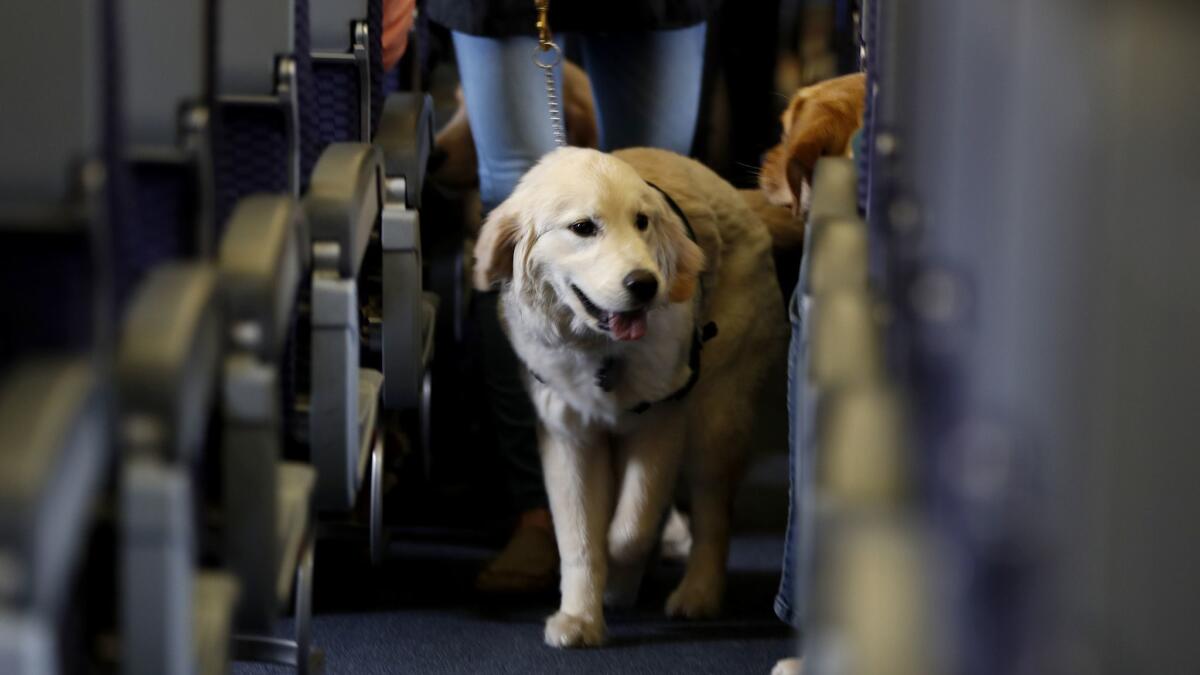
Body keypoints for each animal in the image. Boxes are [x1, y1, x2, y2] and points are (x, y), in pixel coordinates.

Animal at [470, 148, 796, 648]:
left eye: (642, 222)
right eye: (583, 227)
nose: (645, 284)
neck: (602, 351)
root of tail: (735, 195)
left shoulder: (662, 421)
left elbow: (630, 527)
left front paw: (620, 582)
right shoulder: (568, 435)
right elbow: (579, 537)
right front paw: (580, 618)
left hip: (716, 416)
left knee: (713, 514)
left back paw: (698, 593)